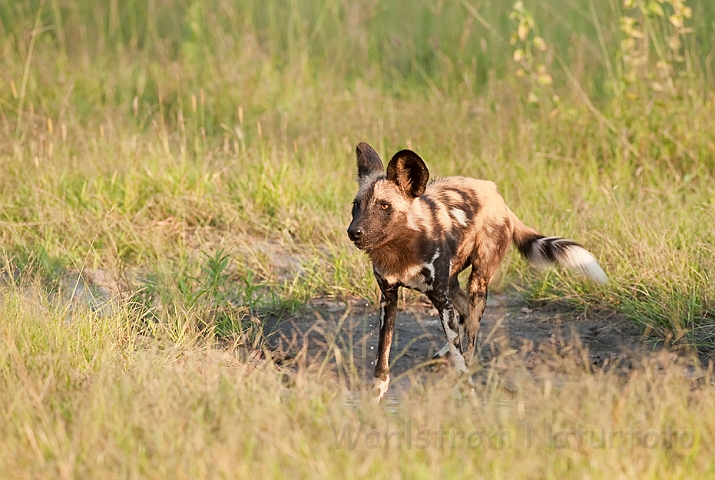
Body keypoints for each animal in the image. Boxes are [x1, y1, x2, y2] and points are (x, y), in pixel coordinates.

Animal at [350, 142, 608, 402]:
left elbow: (459, 355)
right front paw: (375, 396)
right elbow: (383, 356)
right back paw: (441, 356)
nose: (354, 232)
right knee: (465, 316)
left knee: (470, 341)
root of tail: (496, 195)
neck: (401, 249)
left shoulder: (441, 300)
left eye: (384, 206)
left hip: (478, 283)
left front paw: (468, 392)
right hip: (453, 285)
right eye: (356, 206)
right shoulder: (389, 297)